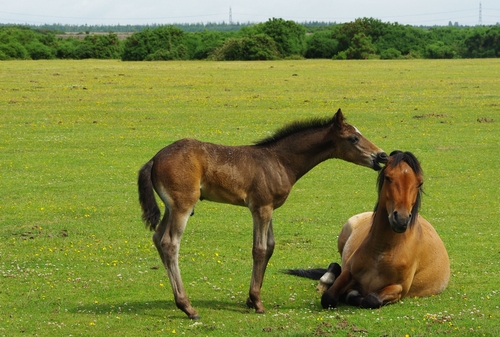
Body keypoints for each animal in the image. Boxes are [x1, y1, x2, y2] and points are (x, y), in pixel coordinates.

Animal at [139, 108, 388, 318]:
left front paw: (251, 300)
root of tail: (154, 158)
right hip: (182, 206)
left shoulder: (268, 209)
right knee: (170, 243)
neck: (279, 161)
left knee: (157, 238)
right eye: (353, 138)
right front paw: (257, 302)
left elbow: (269, 247)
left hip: (170, 208)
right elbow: (259, 250)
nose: (382, 156)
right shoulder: (261, 208)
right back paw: (187, 307)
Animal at [286, 151, 450, 308]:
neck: (382, 251)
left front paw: (352, 295)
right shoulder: (348, 272)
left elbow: (371, 299)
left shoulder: (398, 289)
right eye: (388, 177)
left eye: (419, 183)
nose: (401, 219)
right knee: (336, 265)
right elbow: (329, 297)